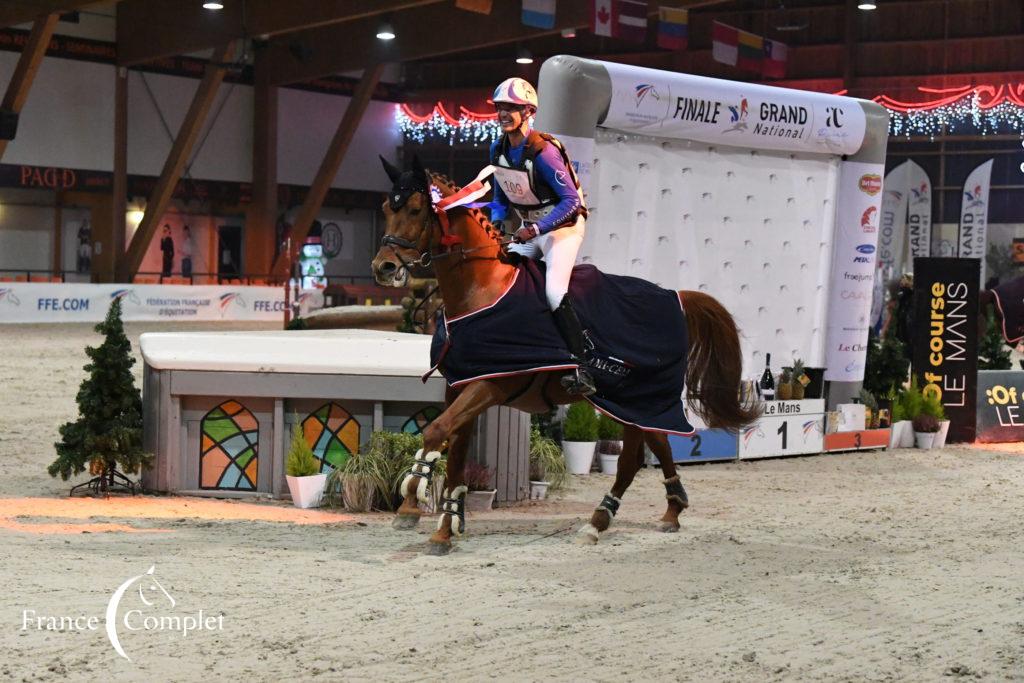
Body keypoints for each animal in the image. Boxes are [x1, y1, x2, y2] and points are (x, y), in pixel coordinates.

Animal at [372, 156, 757, 557]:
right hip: (633, 402)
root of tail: (675, 296)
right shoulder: (459, 385)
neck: (481, 289)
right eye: (386, 208)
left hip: (637, 398)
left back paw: (597, 523)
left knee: (631, 460)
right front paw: (444, 526)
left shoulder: (490, 386)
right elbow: (456, 452)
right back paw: (672, 509)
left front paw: (414, 489)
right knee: (657, 444)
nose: (383, 268)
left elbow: (436, 431)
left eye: (416, 209)